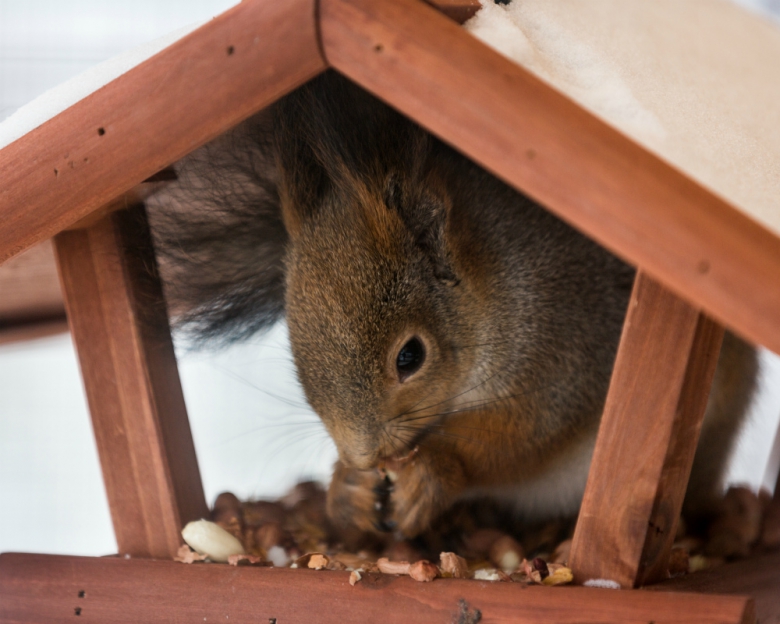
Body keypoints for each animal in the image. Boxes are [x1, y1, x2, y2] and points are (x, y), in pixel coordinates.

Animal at [148, 72, 756, 540]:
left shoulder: (566, 355)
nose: (364, 453)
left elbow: (524, 436)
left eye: (410, 357)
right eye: (294, 349)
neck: (496, 297)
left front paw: (433, 471)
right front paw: (346, 488)